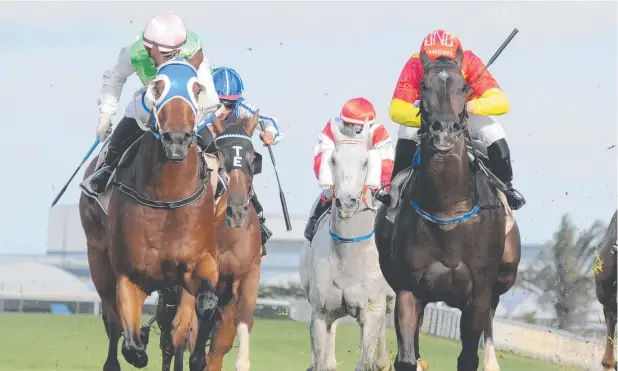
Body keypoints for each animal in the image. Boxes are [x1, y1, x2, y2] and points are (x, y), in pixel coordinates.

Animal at [79, 45, 227, 371]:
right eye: (157, 87)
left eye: (197, 88)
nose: (177, 138)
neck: (167, 198)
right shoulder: (129, 275)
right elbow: (132, 344)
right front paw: (139, 346)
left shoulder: (199, 261)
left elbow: (202, 307)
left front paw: (198, 356)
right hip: (97, 257)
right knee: (112, 320)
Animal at [156, 113, 262, 371]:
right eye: (219, 153)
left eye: (251, 156)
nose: (236, 210)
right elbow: (182, 333)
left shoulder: (247, 275)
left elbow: (239, 328)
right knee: (171, 339)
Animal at [300, 120, 394, 370]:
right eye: (333, 160)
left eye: (365, 162)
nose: (347, 202)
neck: (348, 255)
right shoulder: (321, 311)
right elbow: (321, 360)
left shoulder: (372, 311)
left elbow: (365, 360)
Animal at [370, 48, 520, 370]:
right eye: (423, 86)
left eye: (463, 87)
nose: (444, 132)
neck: (448, 210)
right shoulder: (409, 289)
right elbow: (407, 358)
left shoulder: (478, 294)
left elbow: (468, 357)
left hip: (503, 277)